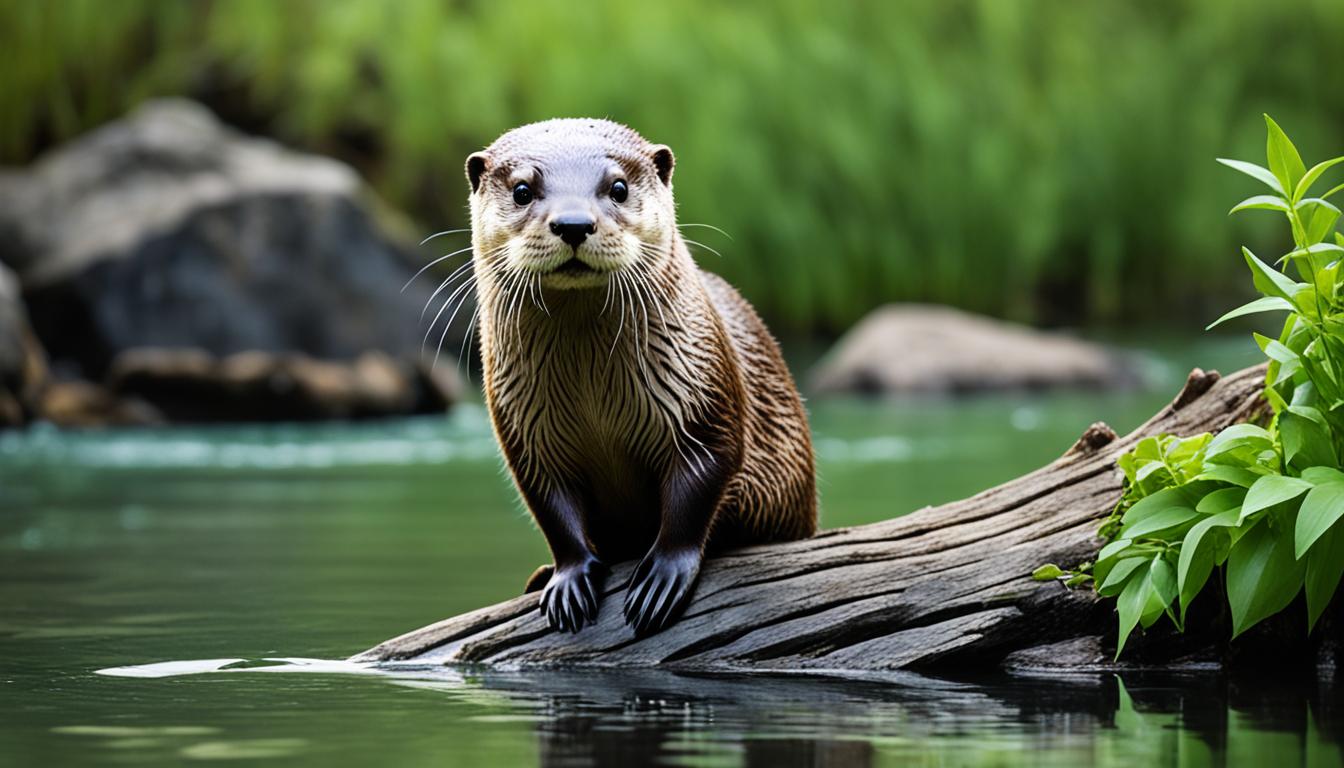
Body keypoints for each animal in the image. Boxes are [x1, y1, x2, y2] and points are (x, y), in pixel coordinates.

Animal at [462, 121, 817, 637]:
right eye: (523, 190)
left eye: (618, 188)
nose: (573, 223)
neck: (593, 395)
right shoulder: (525, 431)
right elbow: (551, 505)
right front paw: (568, 578)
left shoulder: (703, 399)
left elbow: (700, 483)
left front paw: (662, 578)